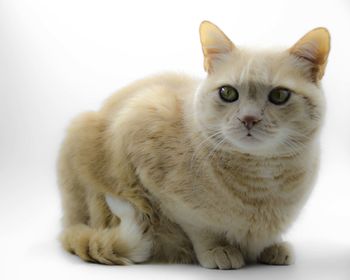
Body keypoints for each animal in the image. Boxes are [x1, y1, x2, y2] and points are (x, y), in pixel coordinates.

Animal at [57, 20, 330, 268]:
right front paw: (218, 250)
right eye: (228, 93)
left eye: (279, 95)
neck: (263, 179)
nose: (248, 119)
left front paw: (271, 246)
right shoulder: (147, 139)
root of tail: (69, 219)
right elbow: (199, 228)